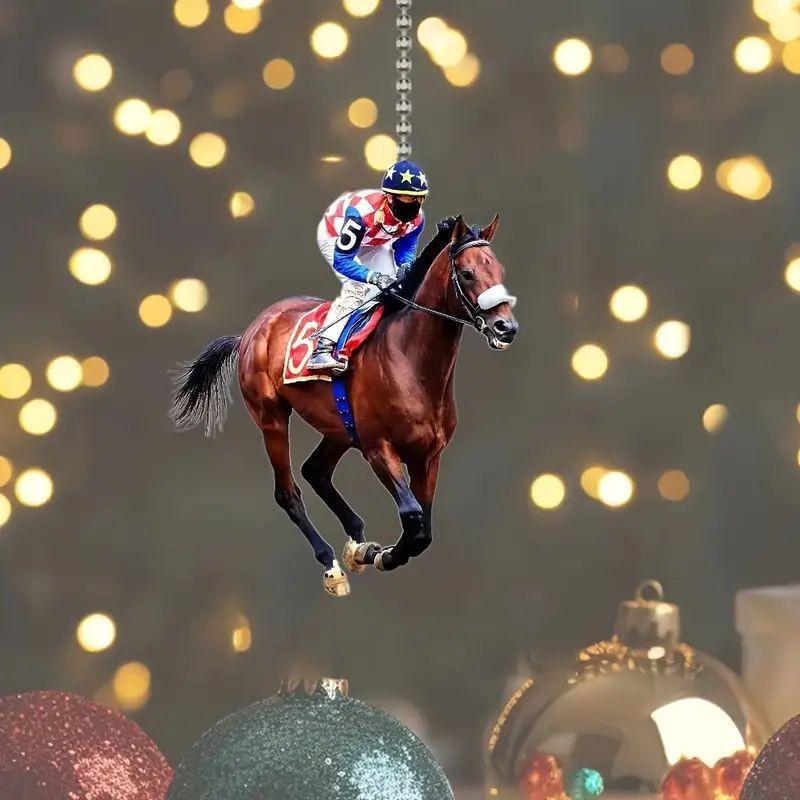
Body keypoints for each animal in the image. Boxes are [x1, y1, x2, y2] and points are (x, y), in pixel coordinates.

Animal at [169, 215, 518, 597]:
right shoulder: (379, 448)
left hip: (338, 427)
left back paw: (356, 540)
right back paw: (331, 563)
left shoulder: (428, 456)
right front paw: (383, 556)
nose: (506, 327)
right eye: (467, 273)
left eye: (499, 269)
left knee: (315, 470)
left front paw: (370, 552)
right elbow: (413, 519)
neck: (410, 361)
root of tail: (251, 330)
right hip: (271, 418)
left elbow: (423, 530)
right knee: (288, 491)